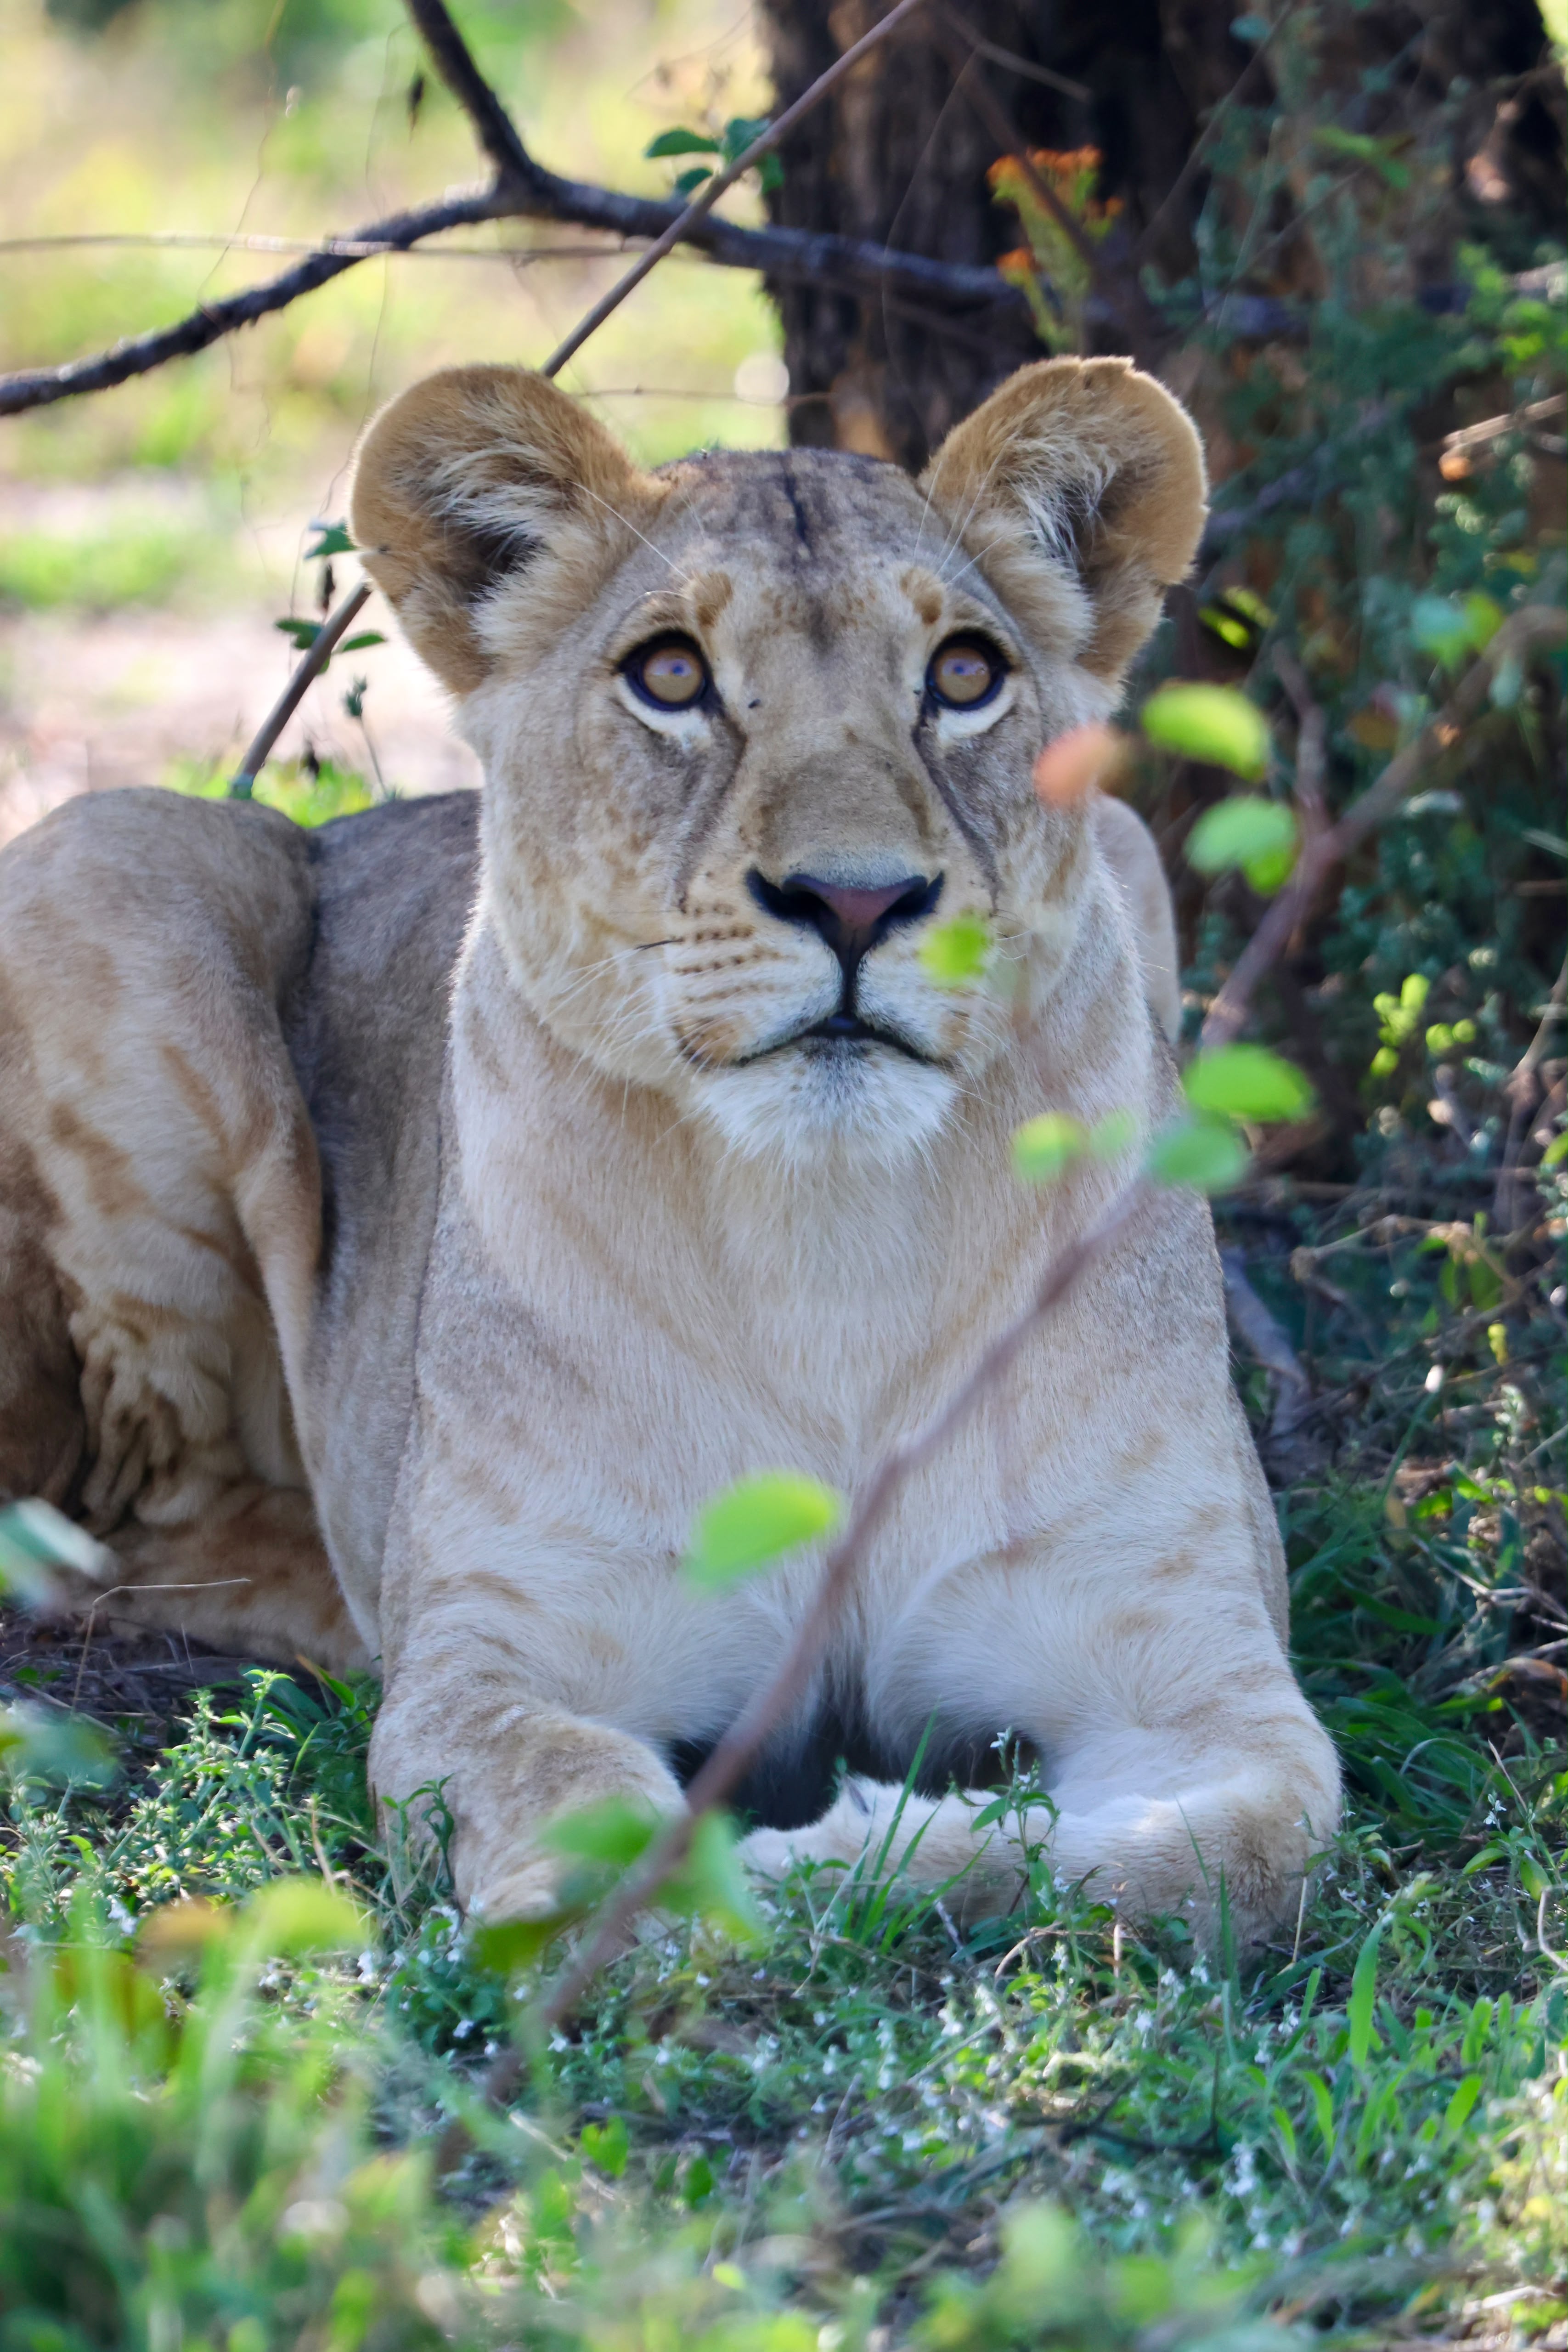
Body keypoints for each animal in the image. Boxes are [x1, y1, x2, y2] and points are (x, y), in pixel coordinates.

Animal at [0, 356, 1339, 1945]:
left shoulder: (1197, 1666)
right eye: (671, 677)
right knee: (128, 1521)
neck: (829, 1247)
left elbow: (1222, 1852)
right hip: (114, 861)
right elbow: (574, 1812)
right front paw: (704, 1883)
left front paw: (848, 1851)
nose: (854, 898)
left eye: (962, 676)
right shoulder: (501, 1657)